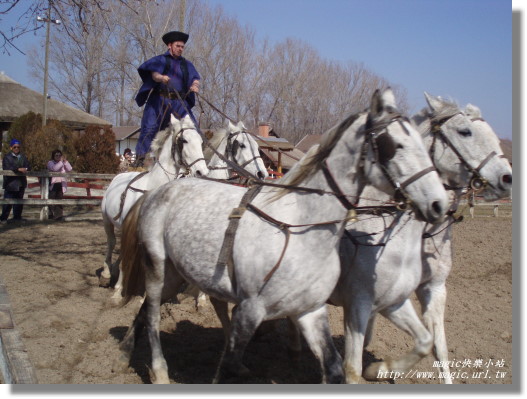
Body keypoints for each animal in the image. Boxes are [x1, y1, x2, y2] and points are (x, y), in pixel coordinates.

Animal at [99, 114, 208, 290]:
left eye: (200, 141)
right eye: (183, 140)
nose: (202, 172)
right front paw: (120, 286)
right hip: (106, 220)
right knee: (111, 243)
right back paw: (106, 273)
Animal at [118, 88, 450, 384]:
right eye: (395, 144)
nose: (439, 204)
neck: (301, 225)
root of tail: (157, 192)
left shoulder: (311, 310)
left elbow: (336, 369)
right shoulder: (250, 309)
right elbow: (228, 367)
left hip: (177, 274)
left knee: (152, 308)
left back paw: (128, 349)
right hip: (158, 267)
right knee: (152, 313)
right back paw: (158, 371)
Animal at [332, 93, 512, 384]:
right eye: (465, 131)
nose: (507, 178)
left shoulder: (434, 288)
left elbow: (437, 347)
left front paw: (380, 369)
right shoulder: (359, 300)